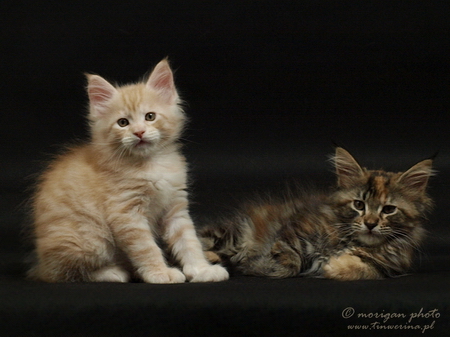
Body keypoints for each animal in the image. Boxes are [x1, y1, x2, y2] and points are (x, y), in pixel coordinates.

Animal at [28, 59, 229, 282]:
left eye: (150, 116)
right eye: (123, 122)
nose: (139, 132)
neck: (150, 164)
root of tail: (41, 263)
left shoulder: (175, 207)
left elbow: (189, 241)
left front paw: (202, 269)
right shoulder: (126, 213)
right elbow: (146, 248)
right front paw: (160, 273)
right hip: (90, 239)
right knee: (64, 273)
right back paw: (111, 272)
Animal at [200, 147, 432, 278]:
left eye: (389, 209)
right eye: (359, 205)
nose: (370, 223)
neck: (351, 240)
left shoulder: (393, 265)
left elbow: (367, 269)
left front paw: (334, 266)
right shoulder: (294, 232)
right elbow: (289, 262)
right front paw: (261, 266)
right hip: (234, 234)